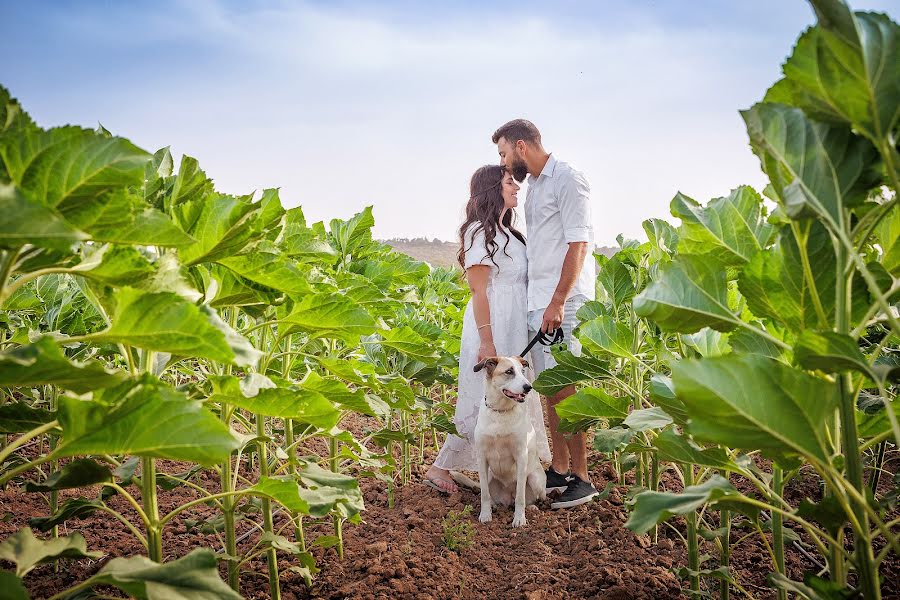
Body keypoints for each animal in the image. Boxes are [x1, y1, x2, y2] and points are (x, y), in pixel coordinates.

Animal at [472, 354, 548, 528]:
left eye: (523, 371)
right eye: (509, 371)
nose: (528, 387)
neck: (501, 412)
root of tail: (508, 497)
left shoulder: (521, 456)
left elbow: (520, 496)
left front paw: (519, 519)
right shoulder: (481, 457)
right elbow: (484, 494)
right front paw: (485, 515)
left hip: (535, 479)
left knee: (534, 497)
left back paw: (532, 508)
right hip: (490, 475)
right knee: (490, 494)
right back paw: (494, 505)